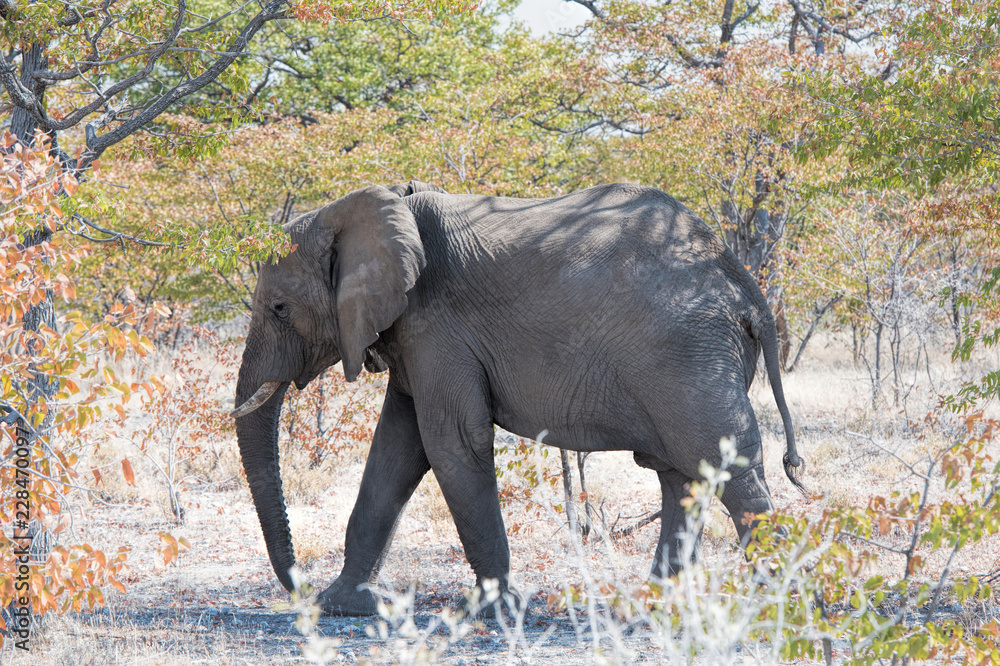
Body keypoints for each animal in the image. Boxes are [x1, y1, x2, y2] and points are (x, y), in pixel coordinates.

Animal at [231, 180, 803, 617]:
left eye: (279, 308)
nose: (301, 589)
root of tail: (746, 288)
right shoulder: (416, 336)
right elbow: (396, 450)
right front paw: (345, 605)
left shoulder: (437, 326)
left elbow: (452, 444)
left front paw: (493, 612)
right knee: (683, 476)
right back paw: (654, 606)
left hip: (689, 356)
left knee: (728, 467)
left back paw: (781, 606)